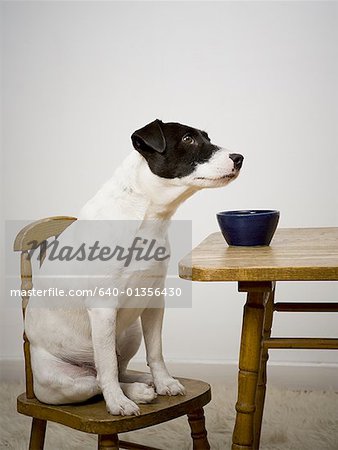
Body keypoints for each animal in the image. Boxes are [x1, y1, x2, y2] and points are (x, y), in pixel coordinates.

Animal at [24, 118, 243, 414]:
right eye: (188, 139)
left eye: (207, 137)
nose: (239, 158)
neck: (146, 217)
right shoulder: (103, 309)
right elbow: (106, 368)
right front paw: (118, 403)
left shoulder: (154, 301)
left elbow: (156, 351)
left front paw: (164, 382)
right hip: (65, 381)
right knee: (97, 379)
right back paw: (131, 393)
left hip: (131, 333)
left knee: (119, 369)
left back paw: (143, 383)